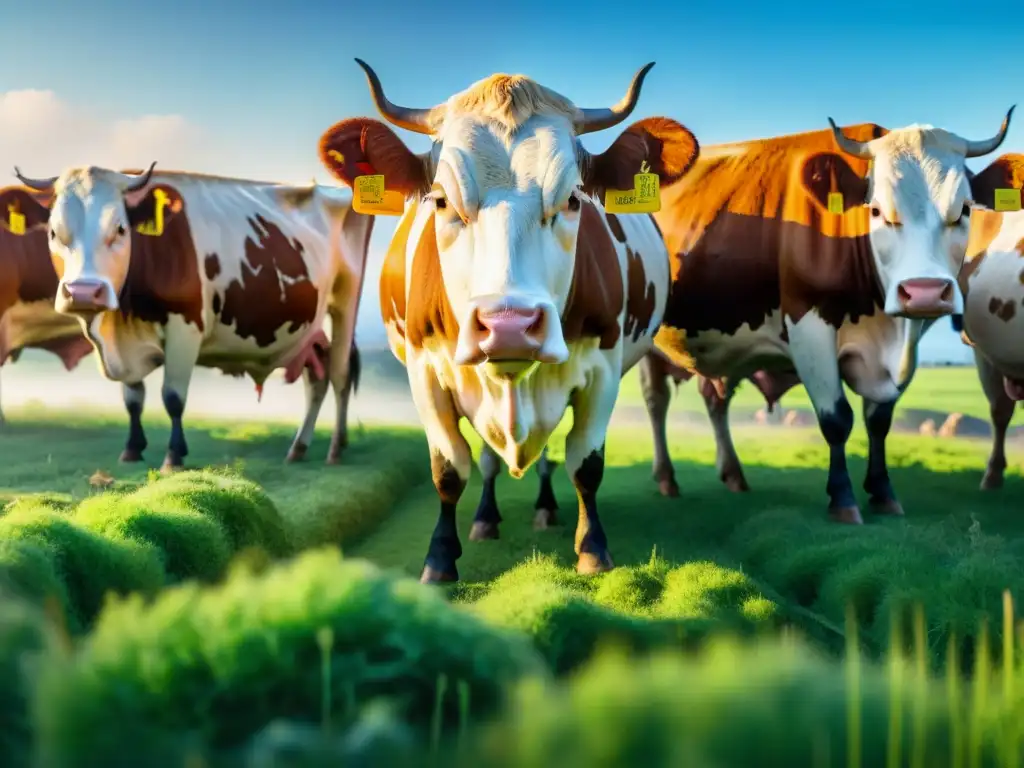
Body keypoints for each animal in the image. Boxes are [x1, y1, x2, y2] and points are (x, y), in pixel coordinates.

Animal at [6, 166, 374, 468]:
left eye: (121, 229)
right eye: (53, 233)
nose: (83, 292)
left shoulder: (185, 327)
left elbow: (172, 397)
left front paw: (174, 456)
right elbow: (133, 398)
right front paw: (132, 449)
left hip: (345, 304)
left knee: (339, 375)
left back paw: (336, 449)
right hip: (309, 333)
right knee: (317, 378)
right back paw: (299, 448)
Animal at [319, 60, 700, 581]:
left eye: (573, 200)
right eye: (441, 200)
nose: (509, 325)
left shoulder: (603, 369)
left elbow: (585, 464)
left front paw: (593, 549)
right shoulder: (423, 371)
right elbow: (448, 468)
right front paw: (440, 558)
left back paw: (543, 508)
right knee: (486, 459)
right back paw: (486, 518)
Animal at [643, 112, 1011, 524]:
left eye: (964, 210)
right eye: (876, 210)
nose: (925, 291)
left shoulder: (906, 342)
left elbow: (879, 420)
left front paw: (882, 492)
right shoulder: (809, 328)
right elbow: (836, 418)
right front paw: (843, 499)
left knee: (713, 398)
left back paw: (734, 474)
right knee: (657, 401)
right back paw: (667, 478)